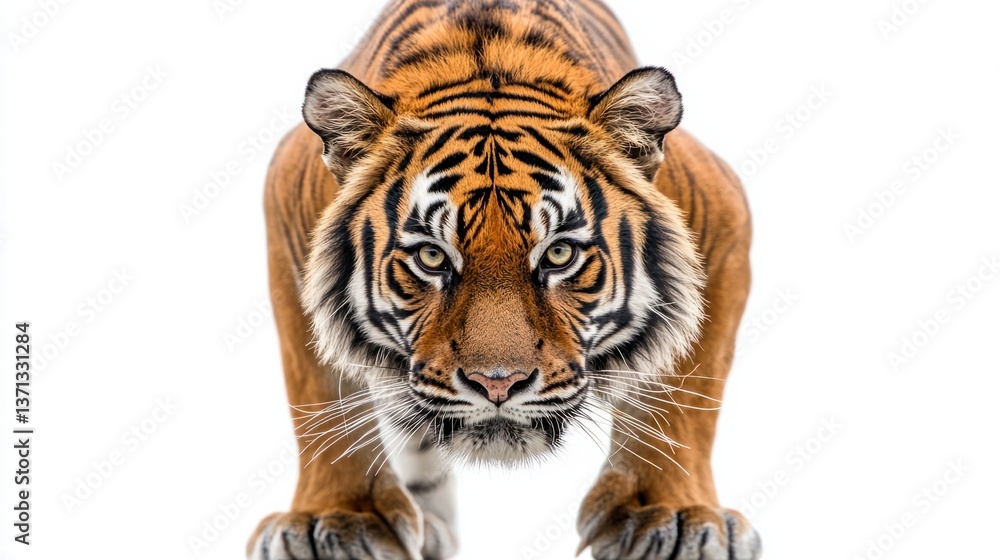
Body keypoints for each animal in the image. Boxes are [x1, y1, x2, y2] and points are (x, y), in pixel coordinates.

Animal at [249, 0, 760, 558]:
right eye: (431, 257)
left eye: (559, 253)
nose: (498, 383)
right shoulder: (286, 216)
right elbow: (320, 395)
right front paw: (335, 517)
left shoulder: (722, 219)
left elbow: (683, 395)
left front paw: (670, 514)